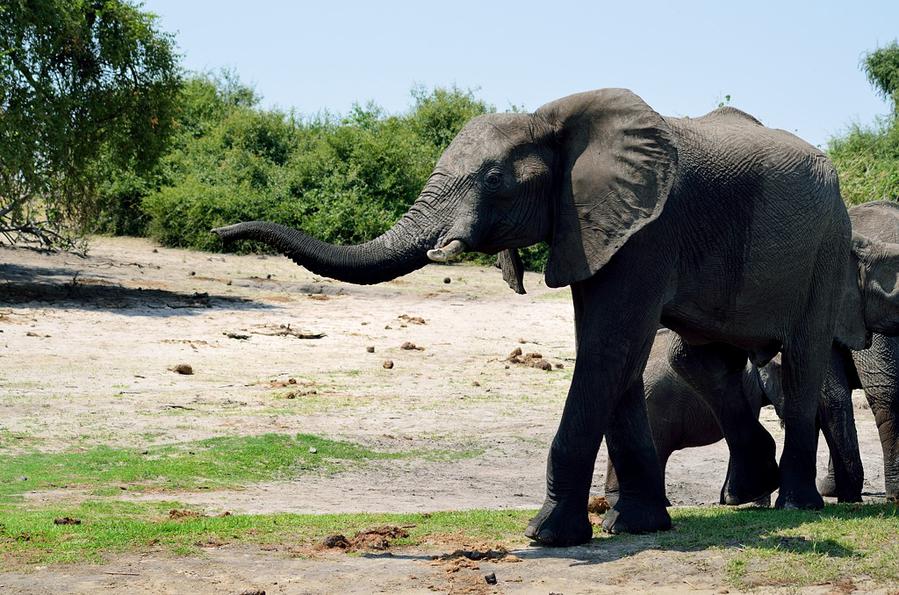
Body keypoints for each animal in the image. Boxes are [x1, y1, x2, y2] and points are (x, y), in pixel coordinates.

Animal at [209, 86, 872, 548]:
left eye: (494, 179)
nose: (221, 228)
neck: (550, 121)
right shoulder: (595, 228)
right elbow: (616, 359)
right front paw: (638, 527)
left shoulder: (648, 232)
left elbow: (607, 350)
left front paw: (548, 536)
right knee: (706, 358)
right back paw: (751, 492)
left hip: (826, 248)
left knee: (803, 359)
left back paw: (796, 506)